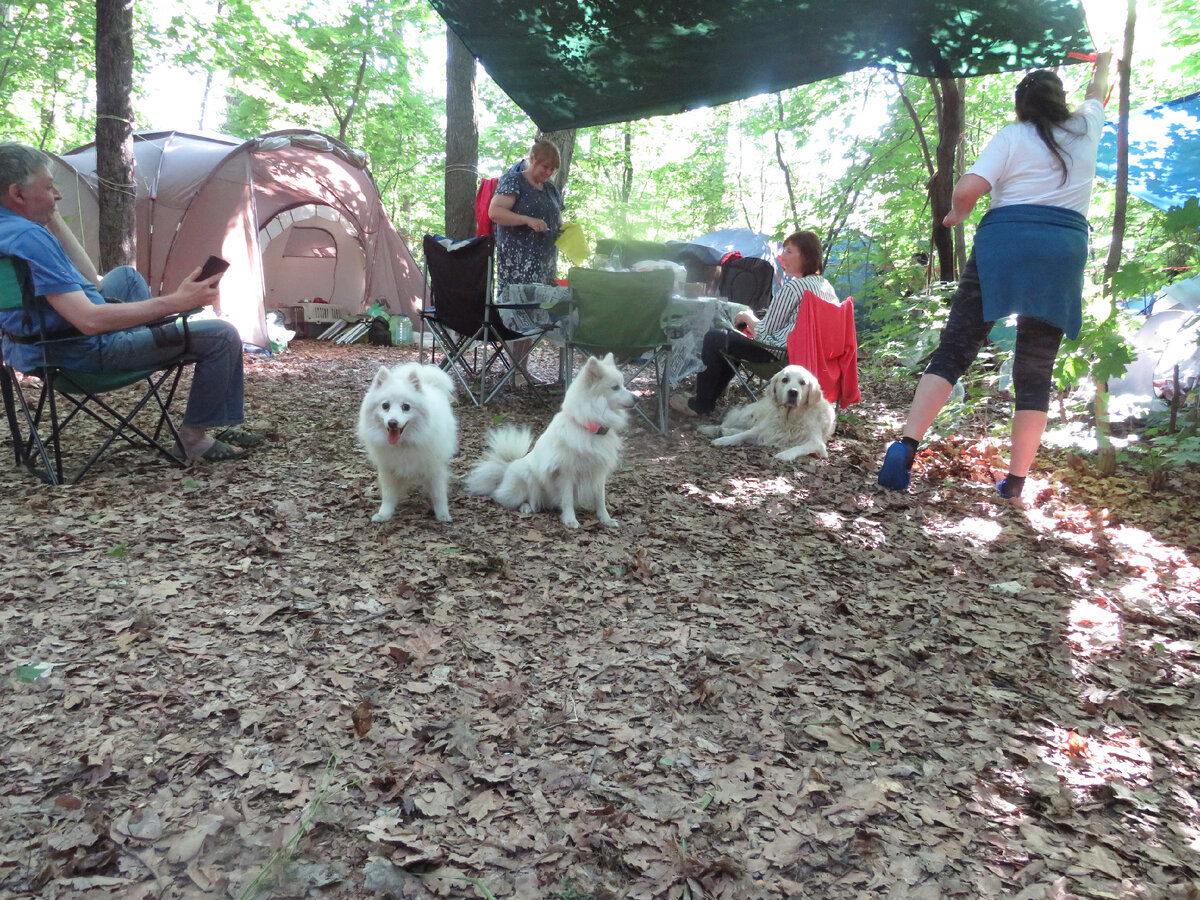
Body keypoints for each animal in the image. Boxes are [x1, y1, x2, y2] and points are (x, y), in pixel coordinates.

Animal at [355, 362, 458, 525]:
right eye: (385, 406)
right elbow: (388, 495)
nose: (392, 422)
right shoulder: (388, 470)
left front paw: (443, 514)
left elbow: (439, 494)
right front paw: (384, 514)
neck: (403, 443)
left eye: (406, 407)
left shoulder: (435, 468)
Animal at [465, 352, 638, 528]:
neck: (589, 427)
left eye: (623, 385)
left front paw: (606, 519)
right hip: (526, 477)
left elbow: (600, 498)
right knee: (508, 499)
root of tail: (506, 468)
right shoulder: (566, 472)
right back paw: (526, 507)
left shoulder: (598, 471)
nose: (636, 398)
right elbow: (567, 498)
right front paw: (570, 520)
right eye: (615, 387)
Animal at [700, 364, 835, 460]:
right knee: (731, 424)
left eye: (803, 383)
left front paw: (785, 454)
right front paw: (724, 440)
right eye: (785, 380)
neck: (789, 419)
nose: (793, 392)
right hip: (749, 416)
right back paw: (713, 429)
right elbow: (743, 435)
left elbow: (800, 447)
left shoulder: (818, 444)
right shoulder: (765, 429)